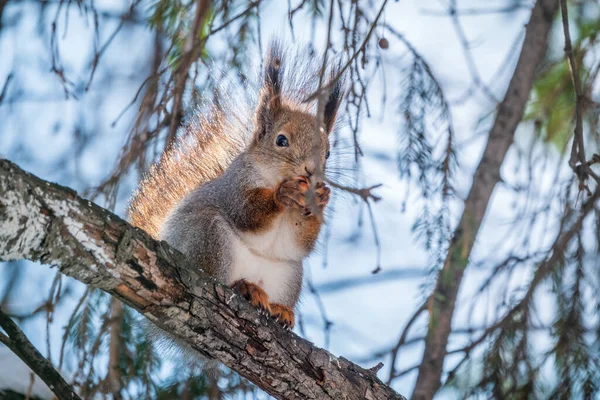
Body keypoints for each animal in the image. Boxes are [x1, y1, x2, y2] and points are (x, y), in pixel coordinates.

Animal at [126, 42, 342, 330]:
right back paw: (244, 287)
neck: (272, 176)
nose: (310, 171)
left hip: (289, 273)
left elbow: (301, 242)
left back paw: (278, 309)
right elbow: (246, 212)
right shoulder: (234, 185)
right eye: (281, 140)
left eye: (328, 153)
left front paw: (321, 197)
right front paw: (282, 194)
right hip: (208, 237)